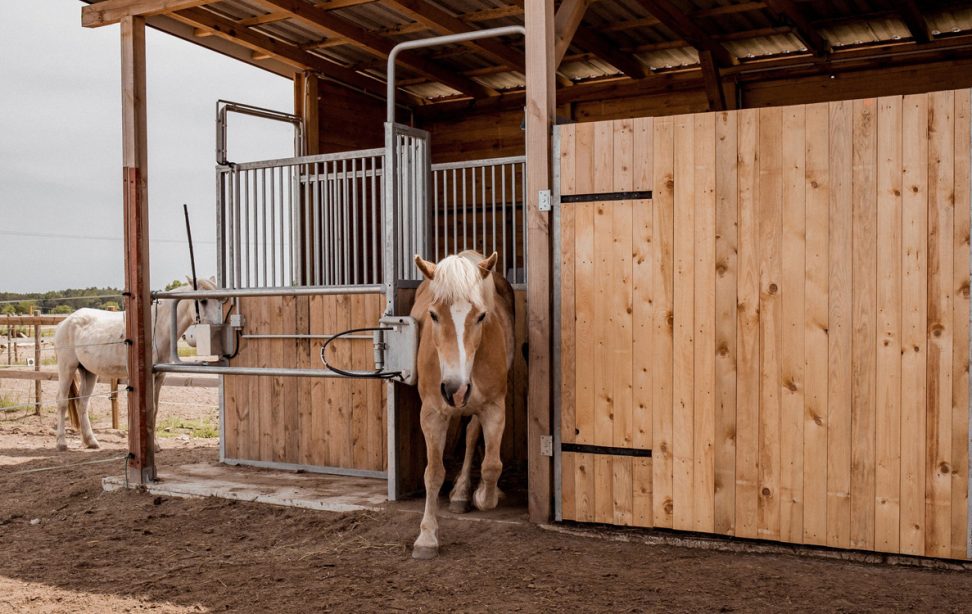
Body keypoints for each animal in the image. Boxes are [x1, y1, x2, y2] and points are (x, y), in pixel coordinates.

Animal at [54, 277, 221, 452]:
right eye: (203, 300)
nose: (218, 329)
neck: (154, 328)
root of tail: (65, 322)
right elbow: (148, 408)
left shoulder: (159, 376)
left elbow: (154, 409)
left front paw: (155, 444)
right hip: (67, 368)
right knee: (62, 401)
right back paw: (61, 443)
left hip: (88, 372)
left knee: (83, 402)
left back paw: (91, 441)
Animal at [410, 250, 515, 559]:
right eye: (433, 314)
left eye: (481, 316)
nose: (454, 388)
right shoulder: (432, 414)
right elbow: (433, 473)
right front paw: (426, 537)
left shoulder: (494, 408)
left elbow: (492, 465)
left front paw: (483, 495)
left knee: (471, 437)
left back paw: (462, 493)